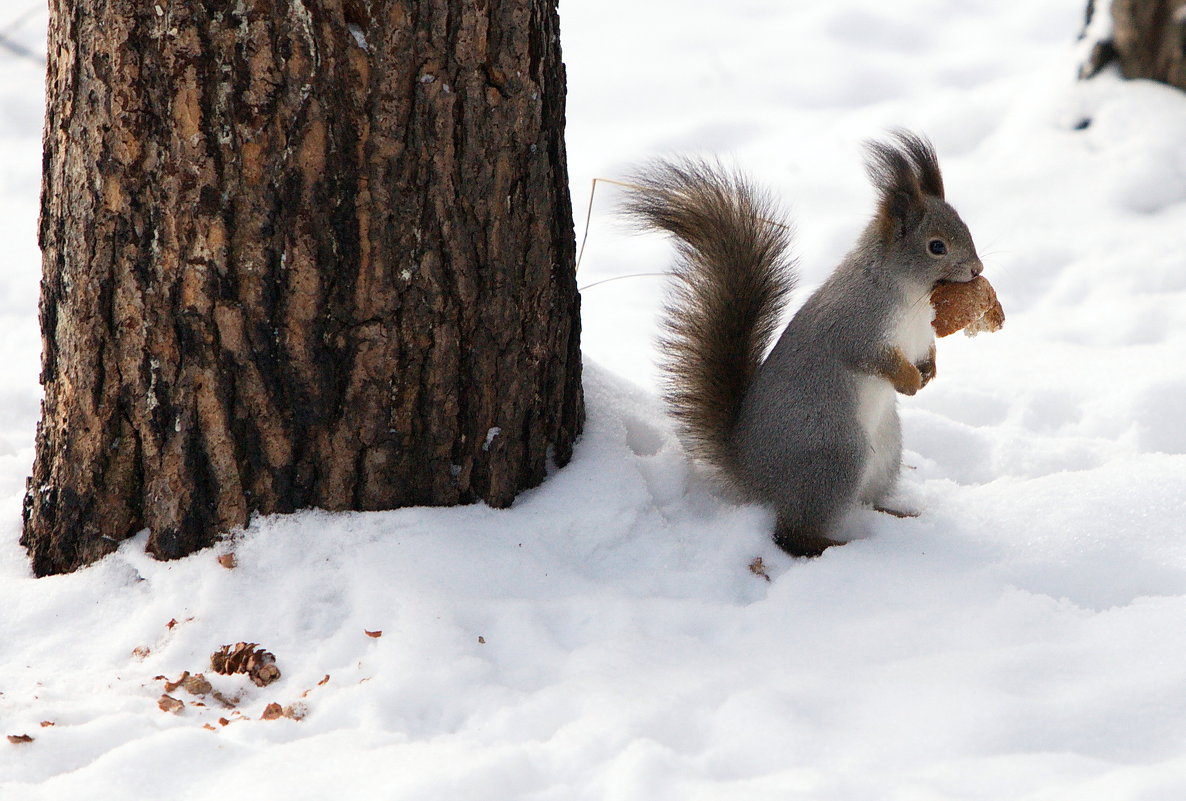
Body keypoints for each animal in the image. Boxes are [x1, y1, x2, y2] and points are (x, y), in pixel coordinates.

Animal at [626, 131, 986, 557]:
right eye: (936, 246)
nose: (977, 269)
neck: (915, 295)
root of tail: (753, 473)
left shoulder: (922, 335)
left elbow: (927, 354)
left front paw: (928, 372)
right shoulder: (855, 326)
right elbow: (871, 358)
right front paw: (910, 381)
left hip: (886, 451)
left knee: (864, 501)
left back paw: (894, 515)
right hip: (835, 455)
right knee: (793, 534)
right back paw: (837, 546)